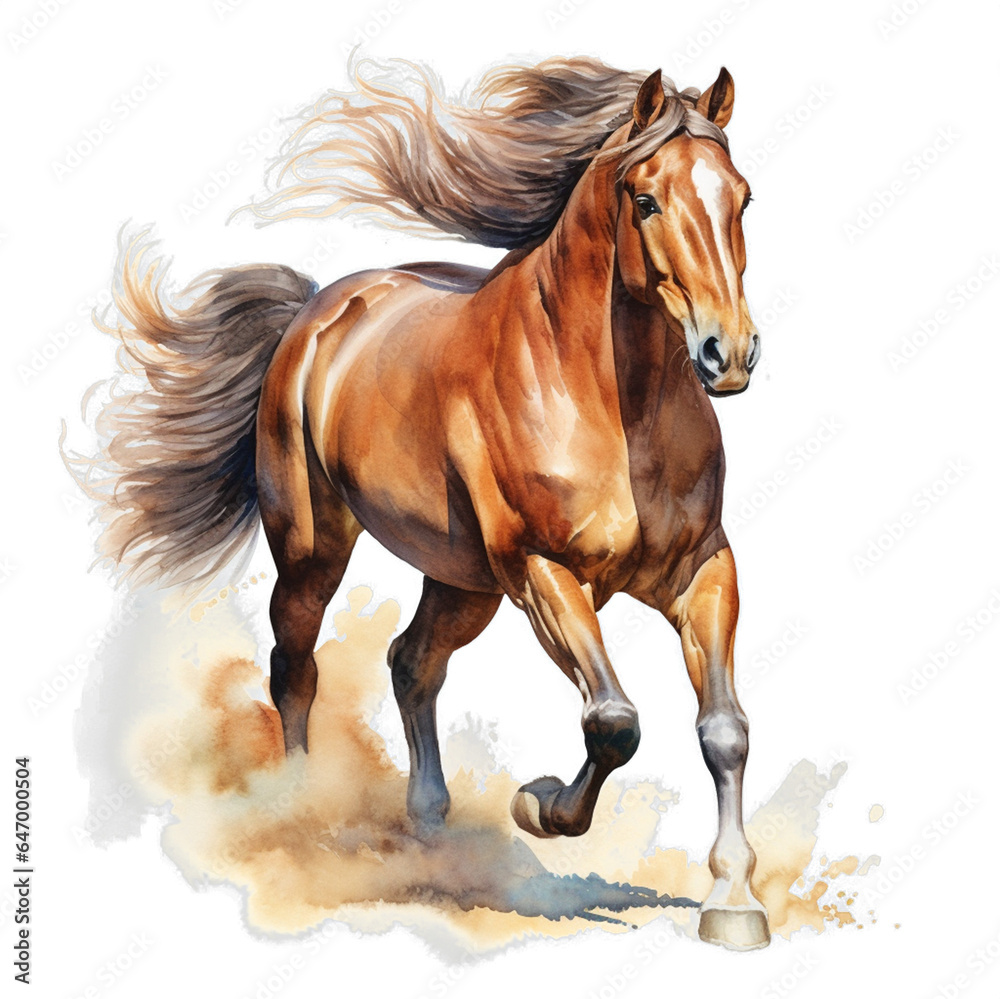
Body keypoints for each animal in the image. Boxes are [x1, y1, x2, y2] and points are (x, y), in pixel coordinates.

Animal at [76, 58, 770, 949]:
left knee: (412, 661)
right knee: (294, 663)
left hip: (462, 579)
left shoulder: (701, 570)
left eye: (741, 197)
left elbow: (724, 729)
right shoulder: (541, 570)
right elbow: (613, 720)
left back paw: (430, 825)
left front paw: (735, 899)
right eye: (646, 199)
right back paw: (301, 812)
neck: (613, 399)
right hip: (317, 548)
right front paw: (538, 804)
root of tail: (315, 310)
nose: (730, 353)